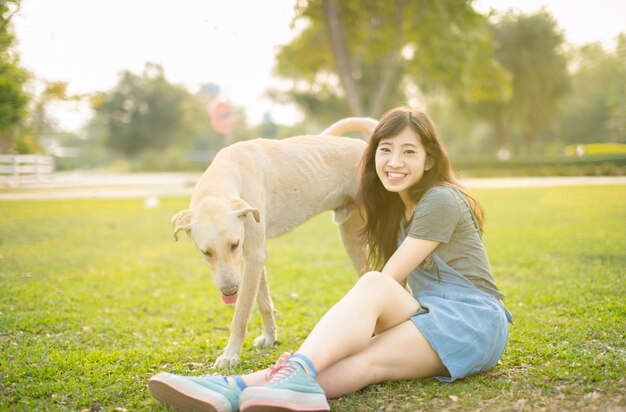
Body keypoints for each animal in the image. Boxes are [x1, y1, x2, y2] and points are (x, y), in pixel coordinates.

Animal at [169, 116, 376, 366]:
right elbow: (264, 303)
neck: (227, 173)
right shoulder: (254, 259)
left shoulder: (252, 256)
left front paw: (230, 354)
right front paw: (270, 338)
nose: (229, 291)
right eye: (205, 252)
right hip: (351, 240)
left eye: (234, 245)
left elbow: (241, 313)